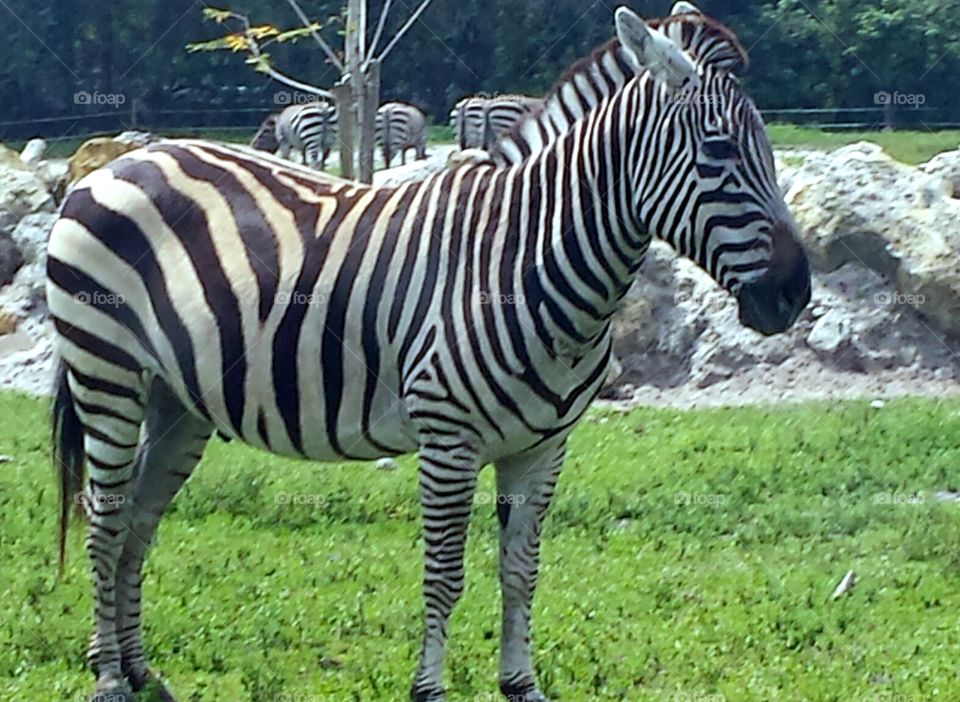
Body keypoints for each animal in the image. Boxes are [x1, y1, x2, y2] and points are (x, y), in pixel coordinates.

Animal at [49, 6, 810, 702]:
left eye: (768, 150)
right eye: (718, 150)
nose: (796, 293)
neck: (522, 259)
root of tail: (122, 159)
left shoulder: (543, 445)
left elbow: (521, 568)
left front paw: (520, 684)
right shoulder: (449, 437)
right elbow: (445, 573)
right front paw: (430, 689)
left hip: (177, 398)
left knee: (138, 521)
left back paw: (140, 670)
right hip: (106, 370)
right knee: (104, 517)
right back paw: (109, 677)